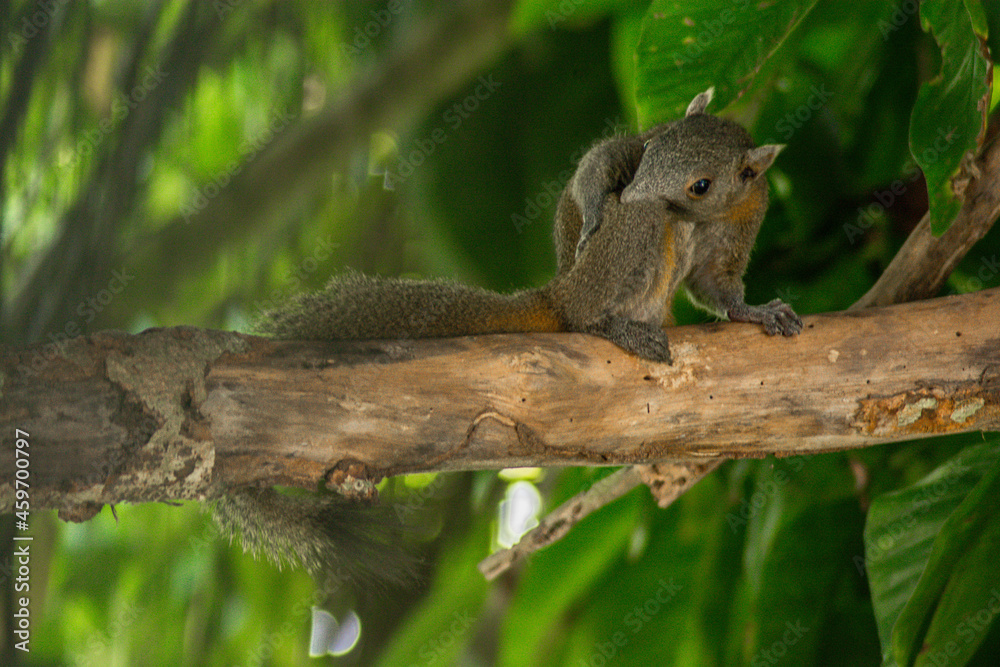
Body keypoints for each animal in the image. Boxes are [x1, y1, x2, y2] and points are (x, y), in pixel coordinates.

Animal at [217, 87, 804, 584]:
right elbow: (600, 160)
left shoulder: (747, 212)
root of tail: (562, 291)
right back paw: (612, 318)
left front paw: (756, 312)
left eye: (701, 184)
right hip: (605, 266)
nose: (635, 186)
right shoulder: (635, 151)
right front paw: (596, 201)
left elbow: (716, 283)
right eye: (655, 147)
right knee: (634, 238)